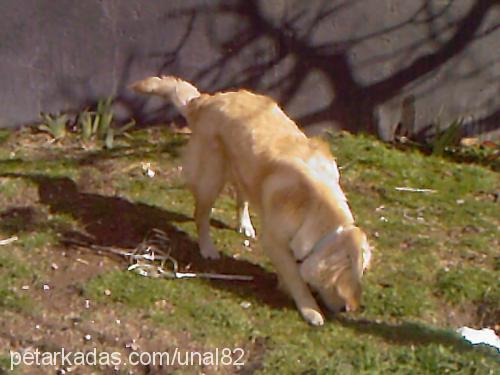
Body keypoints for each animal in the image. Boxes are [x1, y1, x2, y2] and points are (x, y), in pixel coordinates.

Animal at [129, 76, 372, 326]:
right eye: (341, 282)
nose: (350, 309)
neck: (317, 208)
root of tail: (207, 100)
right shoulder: (274, 240)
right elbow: (296, 276)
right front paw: (309, 308)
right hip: (211, 177)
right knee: (201, 215)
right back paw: (207, 248)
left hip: (242, 170)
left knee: (241, 198)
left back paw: (244, 225)